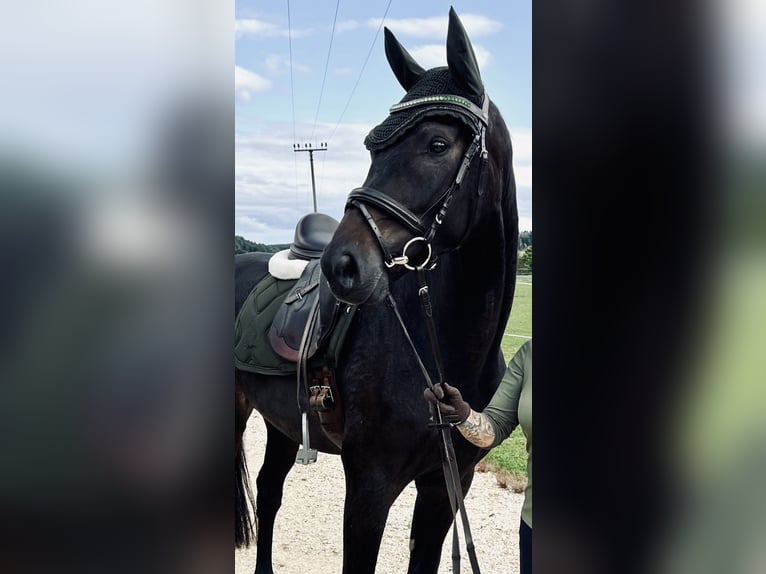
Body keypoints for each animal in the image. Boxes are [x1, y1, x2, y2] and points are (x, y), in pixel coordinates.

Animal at [235, 8, 518, 573]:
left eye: (437, 144)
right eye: (371, 145)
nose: (340, 265)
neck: (443, 351)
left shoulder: (445, 487)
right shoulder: (368, 490)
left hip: (280, 422)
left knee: (270, 490)